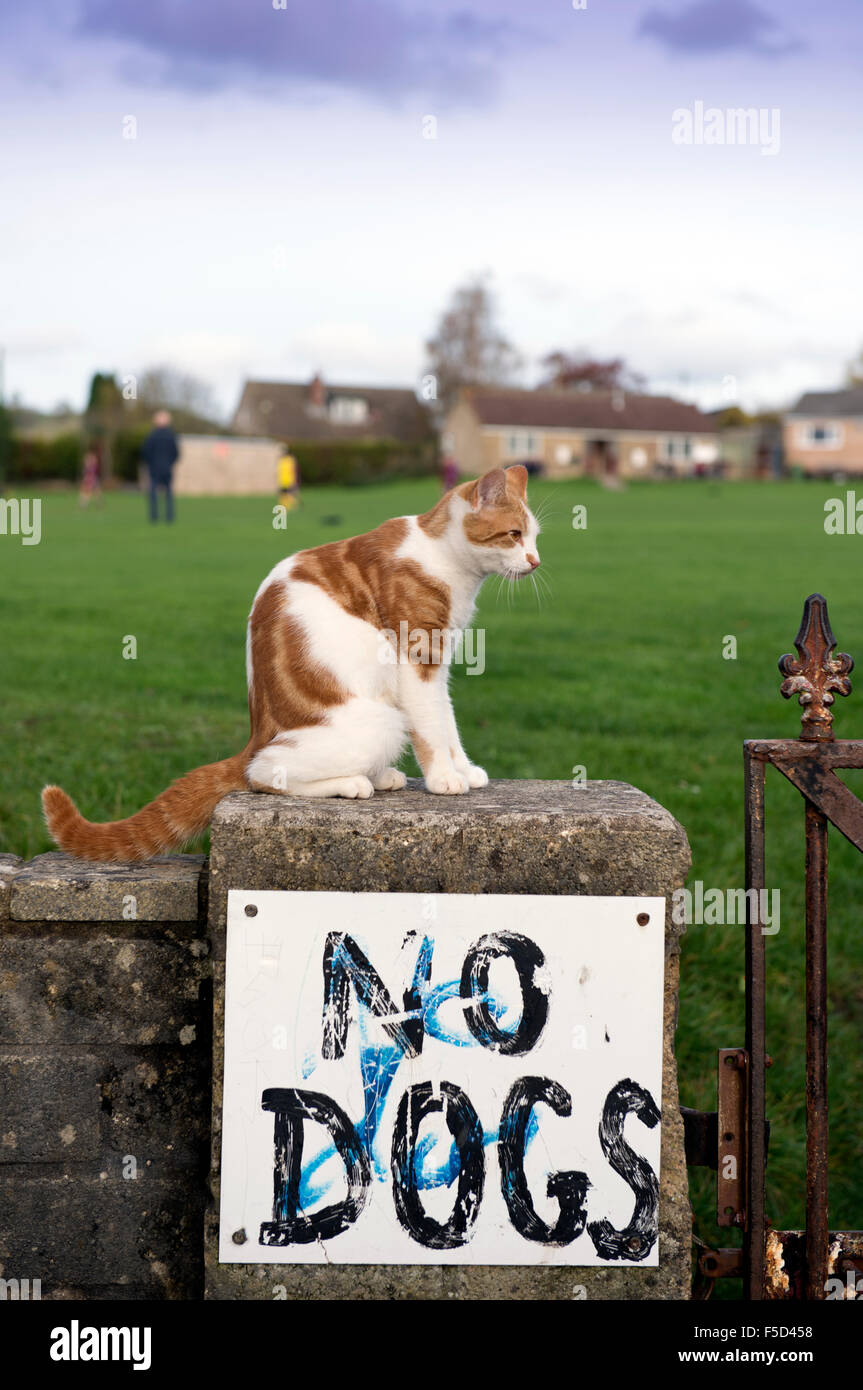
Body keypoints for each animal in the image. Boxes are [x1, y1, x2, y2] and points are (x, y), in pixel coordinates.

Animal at [42, 467, 539, 856]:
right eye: (514, 535)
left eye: (535, 537)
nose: (535, 560)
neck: (446, 561)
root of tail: (256, 733)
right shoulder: (416, 661)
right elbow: (432, 729)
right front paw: (444, 778)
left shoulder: (439, 664)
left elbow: (447, 722)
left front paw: (464, 769)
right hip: (379, 721)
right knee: (262, 774)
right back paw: (352, 782)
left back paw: (379, 776)